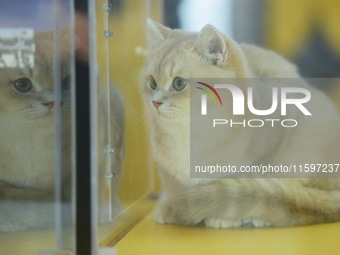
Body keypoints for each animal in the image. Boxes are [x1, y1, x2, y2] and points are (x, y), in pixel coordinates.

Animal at [143, 19, 340, 227]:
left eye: (179, 83)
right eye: (152, 83)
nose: (155, 102)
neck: (192, 133)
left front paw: (224, 216)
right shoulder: (167, 170)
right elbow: (173, 187)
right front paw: (169, 204)